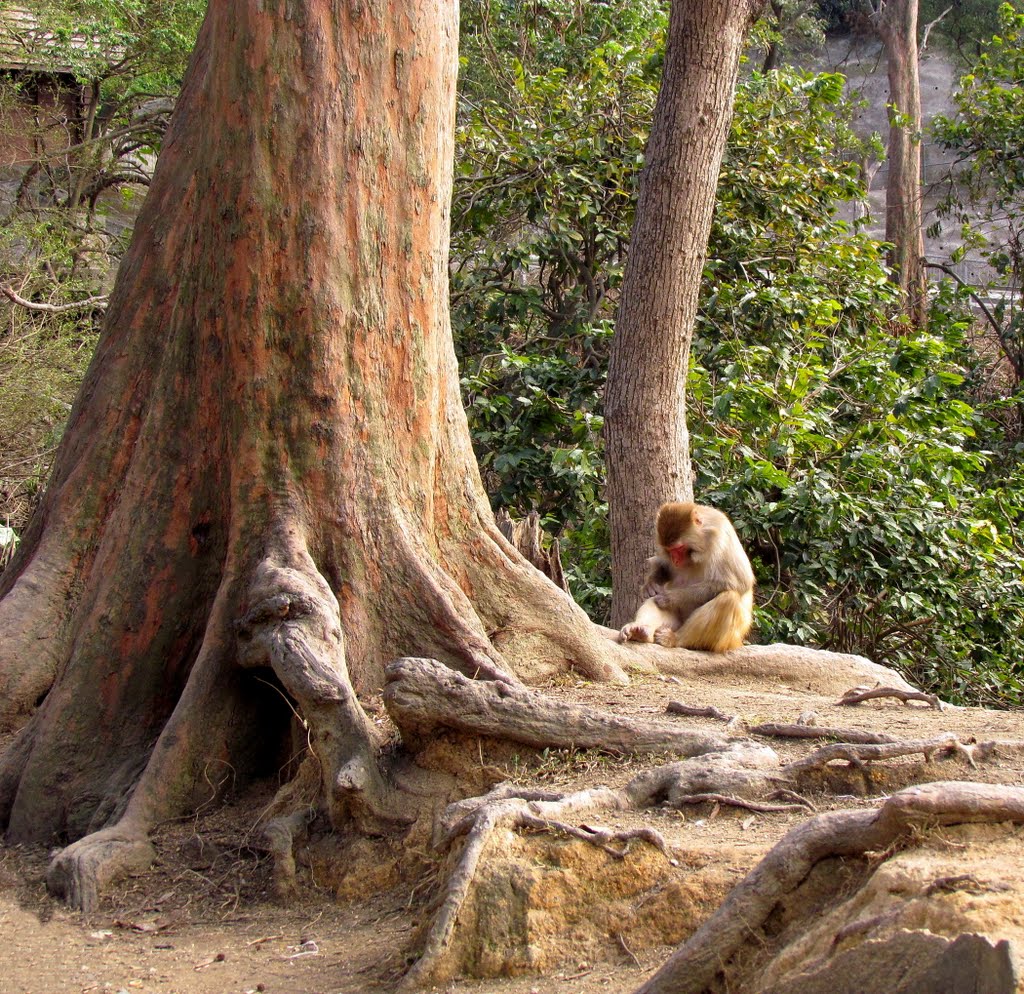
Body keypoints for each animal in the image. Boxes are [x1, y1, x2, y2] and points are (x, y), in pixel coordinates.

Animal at [614, 505, 753, 651]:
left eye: (679, 548)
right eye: (669, 550)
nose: (675, 560)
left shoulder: (722, 536)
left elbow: (739, 582)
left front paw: (670, 597)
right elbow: (663, 565)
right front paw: (650, 584)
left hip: (727, 641)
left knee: (728, 599)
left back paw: (674, 639)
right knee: (653, 600)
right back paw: (640, 631)